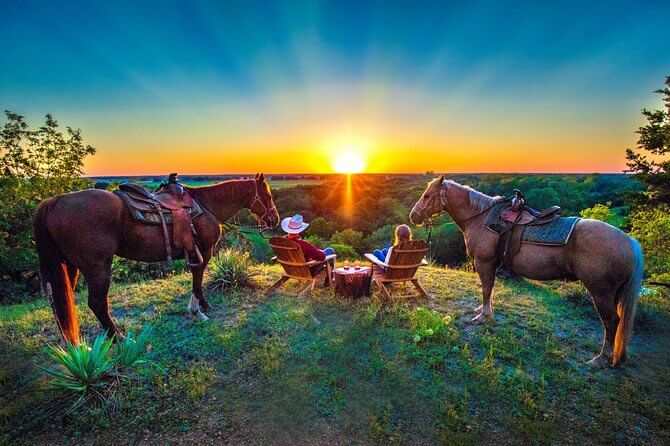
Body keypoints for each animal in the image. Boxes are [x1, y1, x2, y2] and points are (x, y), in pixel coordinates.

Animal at [32, 174, 280, 344]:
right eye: (268, 196)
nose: (275, 220)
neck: (206, 205)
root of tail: (55, 201)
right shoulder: (204, 251)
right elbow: (198, 280)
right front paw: (199, 309)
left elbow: (196, 279)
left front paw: (200, 306)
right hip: (97, 267)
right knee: (97, 303)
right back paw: (119, 338)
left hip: (69, 267)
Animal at [410, 174, 644, 366]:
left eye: (427, 195)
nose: (414, 216)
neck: (481, 218)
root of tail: (630, 242)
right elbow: (489, 290)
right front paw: (483, 311)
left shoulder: (484, 263)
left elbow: (486, 289)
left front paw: (483, 316)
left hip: (600, 291)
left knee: (611, 322)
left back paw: (600, 359)